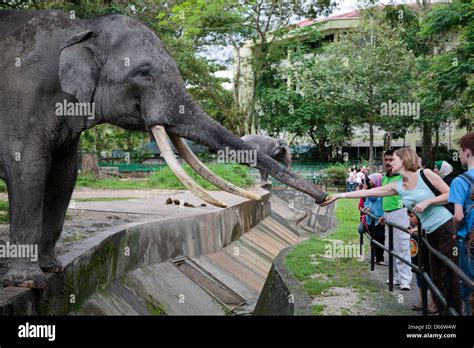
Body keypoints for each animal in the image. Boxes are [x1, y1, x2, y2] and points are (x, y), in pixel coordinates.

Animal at [0, 10, 326, 288]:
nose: (324, 198)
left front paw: (52, 269)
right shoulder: (20, 97)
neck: (81, 26)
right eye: (144, 73)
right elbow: (29, 168)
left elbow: (63, 175)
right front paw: (28, 282)